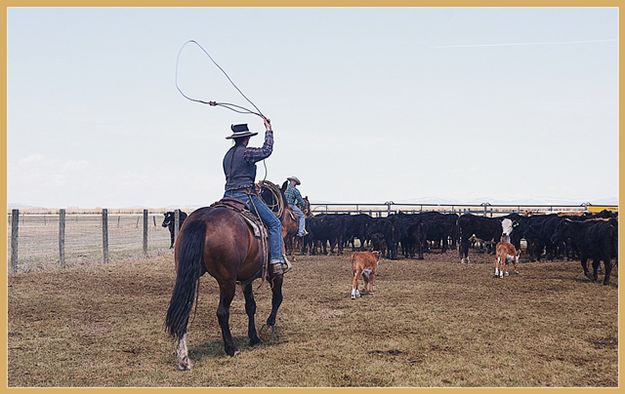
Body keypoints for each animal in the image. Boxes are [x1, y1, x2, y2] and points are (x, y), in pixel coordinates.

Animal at [163, 199, 286, 370]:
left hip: (188, 275)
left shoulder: (246, 280)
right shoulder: (276, 275)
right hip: (227, 282)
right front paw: (268, 326)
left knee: (183, 311)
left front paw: (254, 337)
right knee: (222, 312)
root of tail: (203, 220)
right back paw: (231, 349)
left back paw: (183, 359)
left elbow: (251, 306)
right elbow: (277, 299)